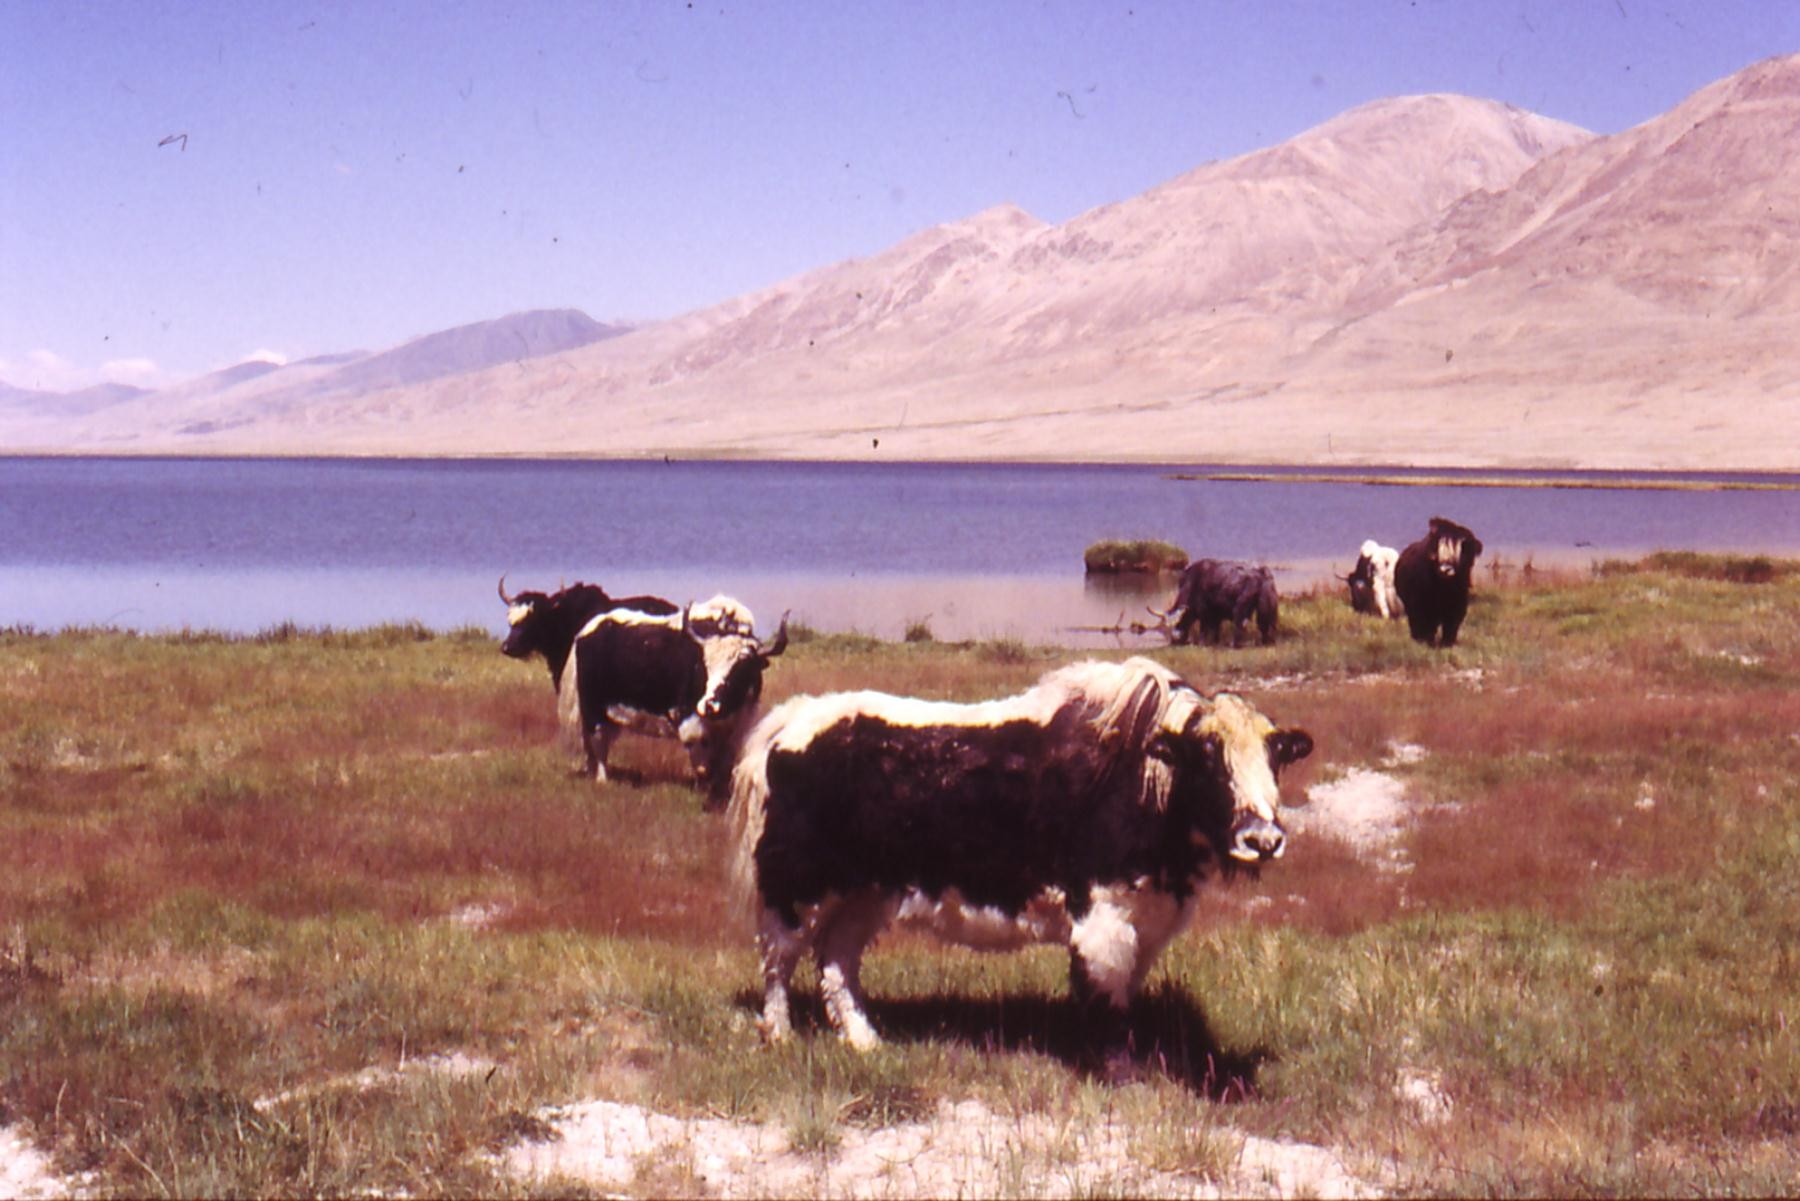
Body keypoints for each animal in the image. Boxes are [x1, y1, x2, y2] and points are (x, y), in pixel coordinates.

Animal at [568, 602, 789, 797]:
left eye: (741, 668)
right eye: (704, 665)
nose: (708, 706)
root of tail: (586, 630)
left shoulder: (738, 726)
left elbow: (725, 764)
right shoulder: (691, 720)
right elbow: (702, 764)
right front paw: (702, 790)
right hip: (592, 708)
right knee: (598, 744)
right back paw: (602, 779)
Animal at [727, 656, 1313, 1078]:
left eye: (1275, 756)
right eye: (1208, 755)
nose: (1261, 840)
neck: (1147, 780)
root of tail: (791, 721)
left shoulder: (1145, 923)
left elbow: (1125, 995)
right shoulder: (1101, 918)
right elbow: (1105, 998)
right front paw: (1118, 1073)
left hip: (865, 893)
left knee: (836, 962)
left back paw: (867, 1042)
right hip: (795, 887)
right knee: (779, 959)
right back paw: (780, 1036)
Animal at [1393, 517, 1483, 647]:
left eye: (1462, 551)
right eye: (1437, 548)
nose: (1446, 569)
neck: (1443, 588)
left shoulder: (1457, 608)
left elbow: (1450, 628)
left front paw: (1446, 644)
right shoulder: (1421, 606)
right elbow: (1425, 626)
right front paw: (1426, 642)